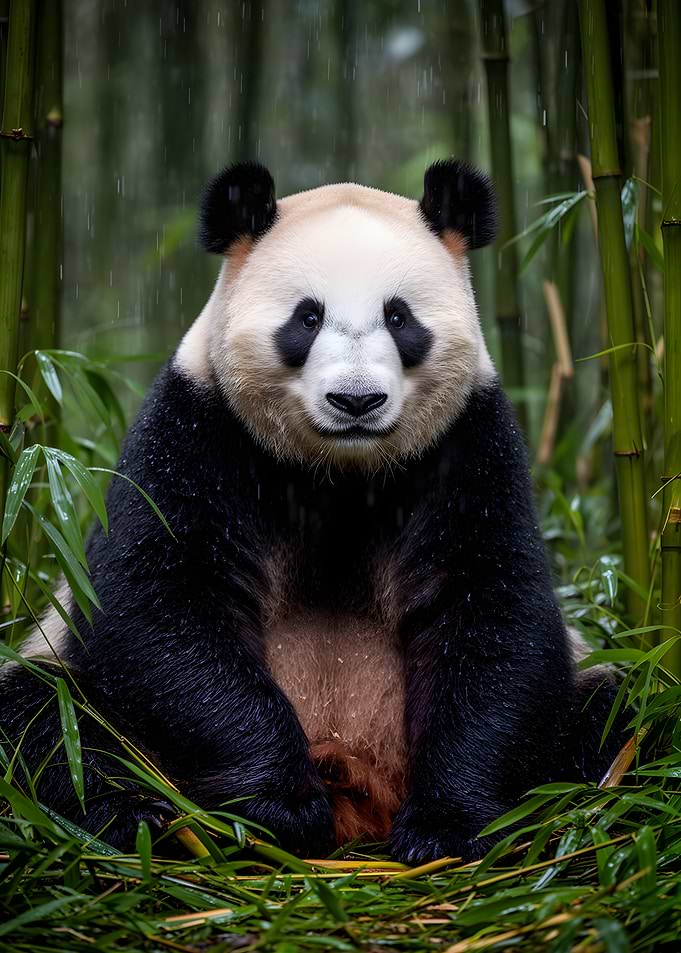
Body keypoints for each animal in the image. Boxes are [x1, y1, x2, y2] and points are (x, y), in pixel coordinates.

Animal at [1, 160, 626, 863]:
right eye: (306, 318)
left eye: (400, 318)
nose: (355, 401)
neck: (339, 475)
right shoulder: (195, 430)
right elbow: (160, 602)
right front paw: (279, 802)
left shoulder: (470, 447)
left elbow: (491, 609)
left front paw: (446, 825)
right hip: (61, 669)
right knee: (47, 721)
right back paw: (137, 815)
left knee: (619, 713)